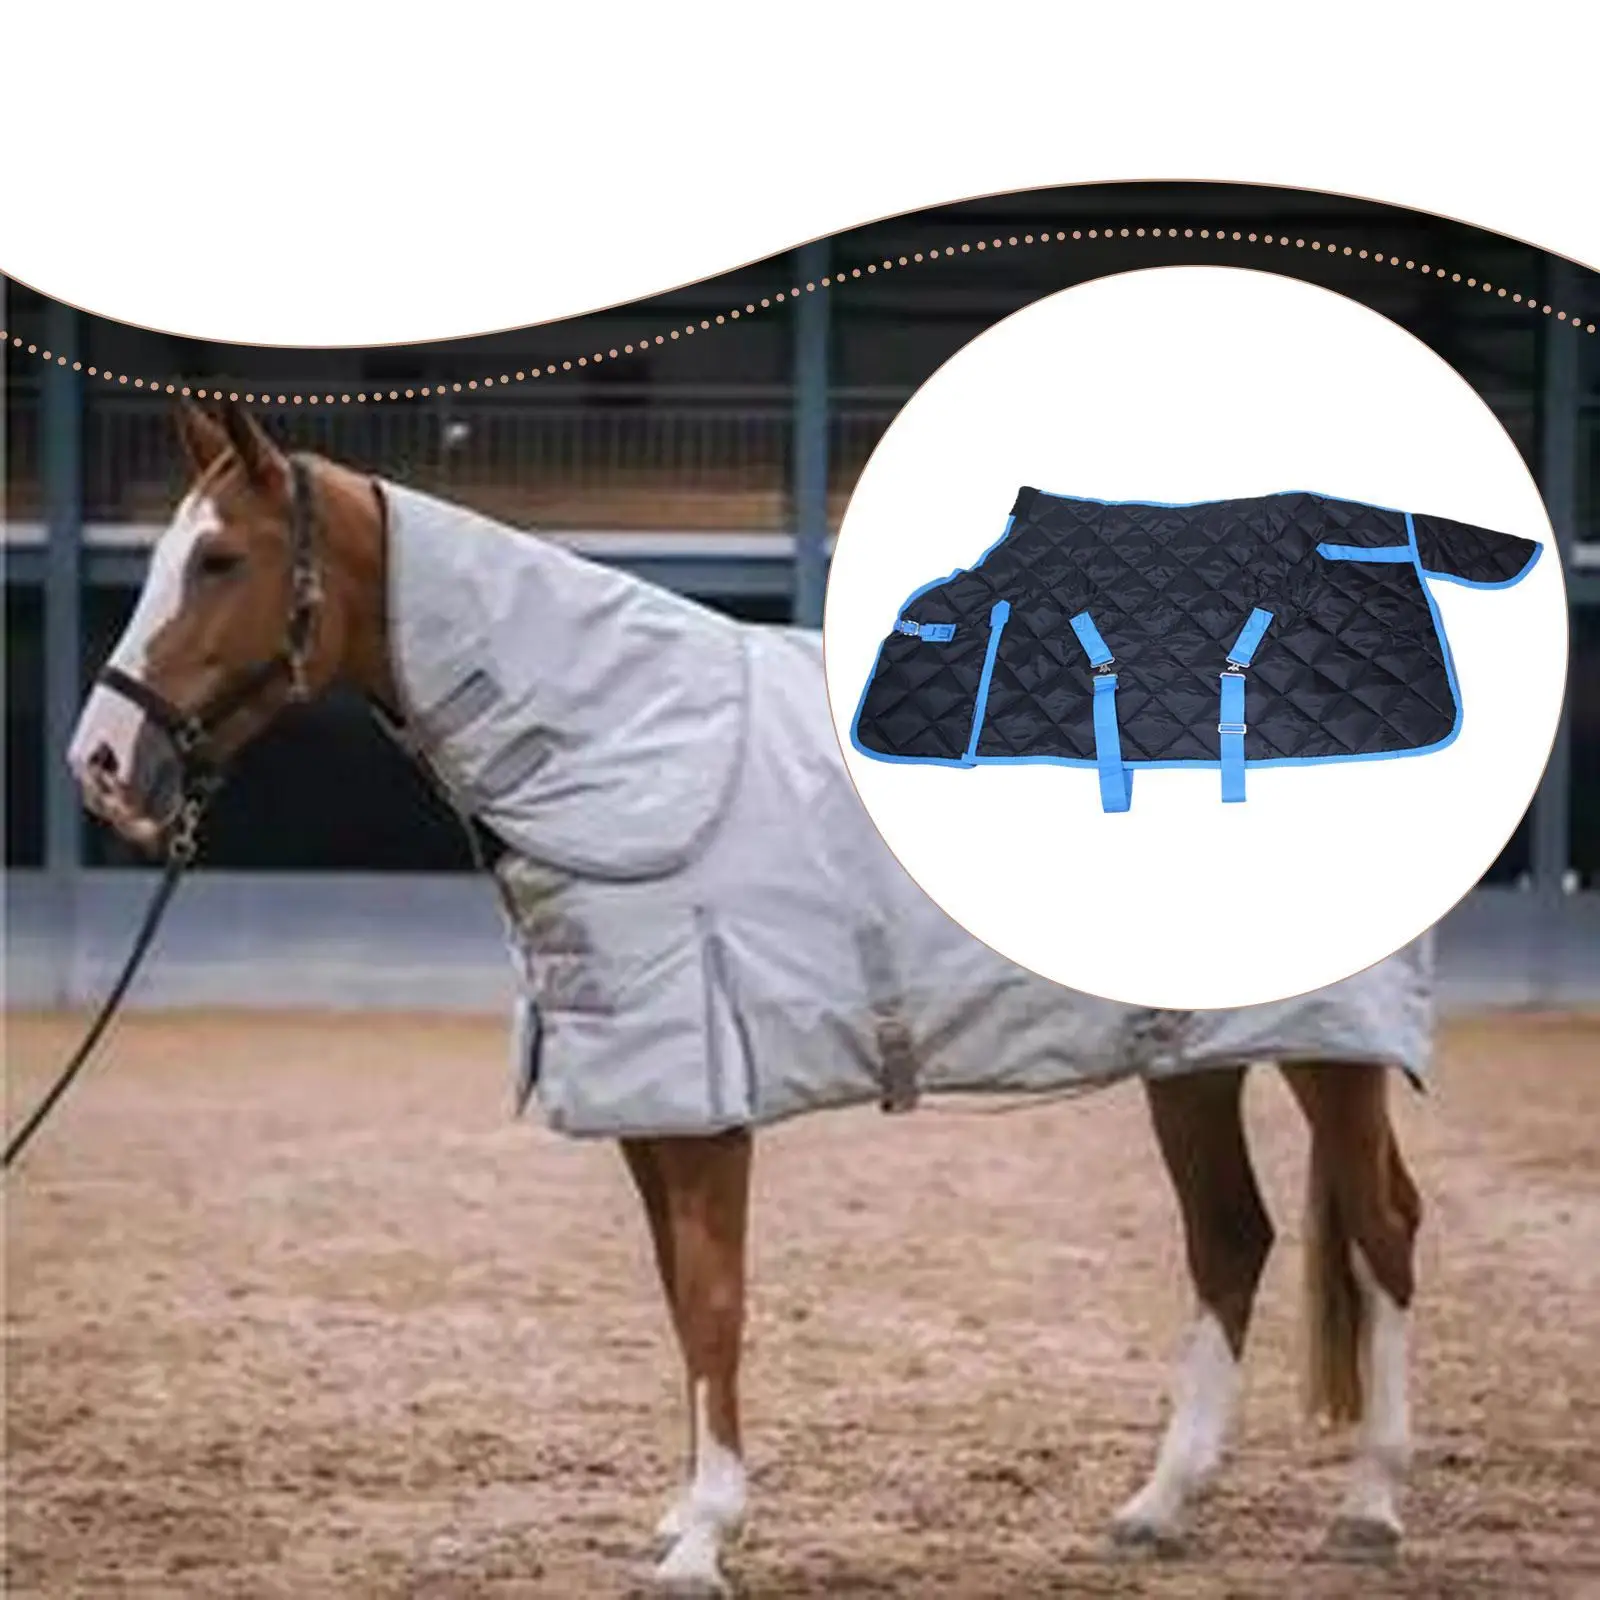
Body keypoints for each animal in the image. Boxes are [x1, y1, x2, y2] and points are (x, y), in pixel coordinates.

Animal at [65, 402, 1424, 1594]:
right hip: (1189, 1061)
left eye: (220, 559)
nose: (102, 765)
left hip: (1329, 1055)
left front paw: (704, 1541)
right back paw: (1158, 1505)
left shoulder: (708, 1097)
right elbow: (680, 1299)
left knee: (1382, 1229)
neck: (628, 748)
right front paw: (681, 1516)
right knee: (1230, 1238)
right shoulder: (648, 1098)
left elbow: (715, 1302)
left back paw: (1369, 1504)